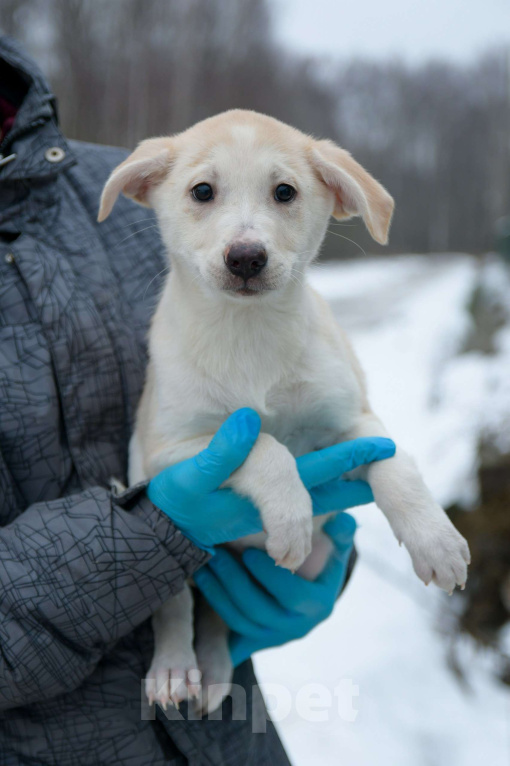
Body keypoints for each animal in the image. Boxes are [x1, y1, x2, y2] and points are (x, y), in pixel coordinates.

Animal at [98, 111, 470, 716]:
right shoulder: (170, 454)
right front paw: (291, 513)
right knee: (177, 605)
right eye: (202, 191)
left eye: (285, 192)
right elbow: (262, 445)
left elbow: (397, 466)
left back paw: (215, 671)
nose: (247, 257)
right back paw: (175, 670)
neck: (249, 334)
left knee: (220, 619)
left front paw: (434, 540)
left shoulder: (356, 423)